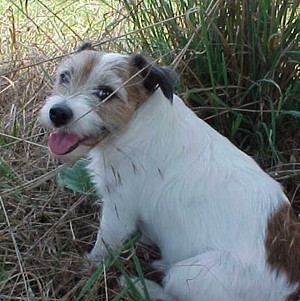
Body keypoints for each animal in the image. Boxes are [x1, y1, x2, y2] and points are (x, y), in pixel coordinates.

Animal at [39, 42, 298, 300]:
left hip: (190, 274)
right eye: (64, 76)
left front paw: (88, 266)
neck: (136, 123)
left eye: (105, 92)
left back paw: (140, 285)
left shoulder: (119, 209)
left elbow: (105, 244)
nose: (58, 113)